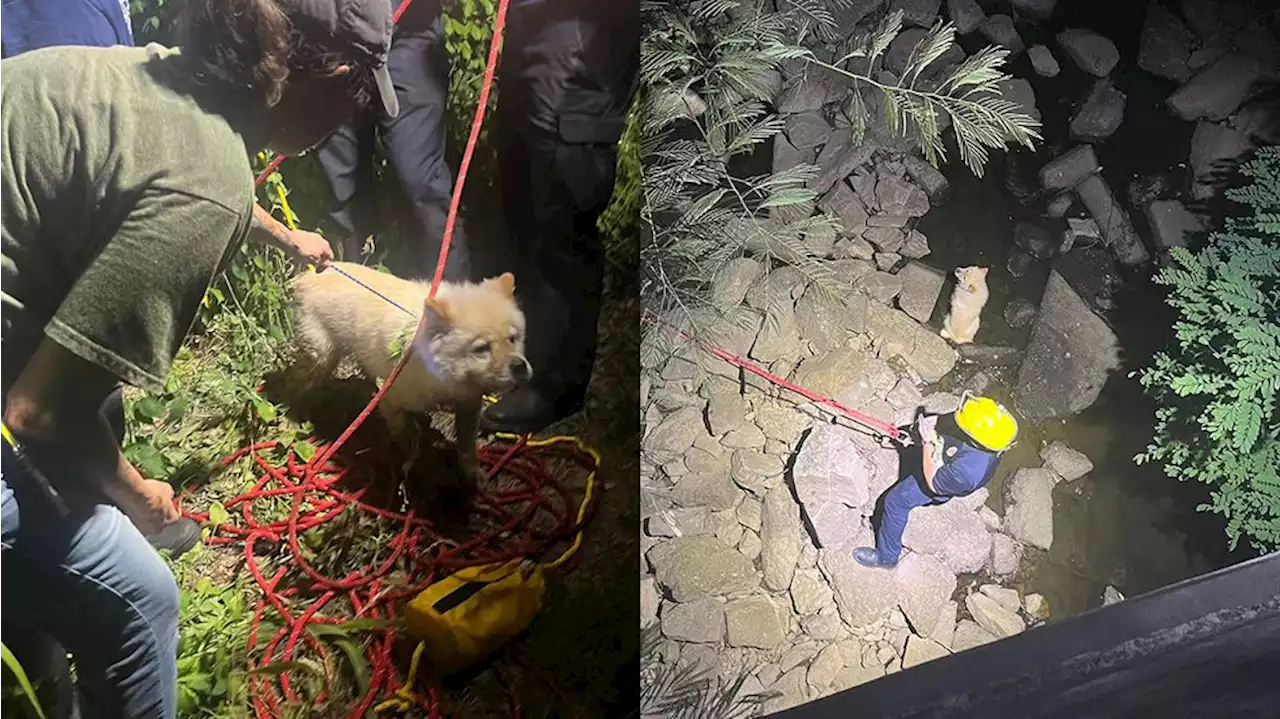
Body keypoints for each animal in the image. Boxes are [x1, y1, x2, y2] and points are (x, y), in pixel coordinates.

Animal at [290, 259, 529, 478]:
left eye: (513, 338)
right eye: (481, 349)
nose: (520, 366)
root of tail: (308, 275)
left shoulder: (469, 403)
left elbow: (467, 446)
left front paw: (473, 474)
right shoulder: (393, 403)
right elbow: (406, 440)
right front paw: (413, 467)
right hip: (322, 357)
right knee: (300, 386)